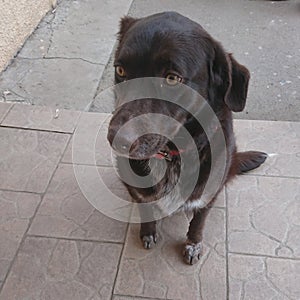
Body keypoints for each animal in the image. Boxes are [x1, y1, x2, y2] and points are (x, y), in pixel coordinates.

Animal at [106, 11, 266, 264]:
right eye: (120, 71)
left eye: (172, 78)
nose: (117, 139)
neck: (170, 156)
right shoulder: (139, 190)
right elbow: (145, 208)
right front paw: (148, 231)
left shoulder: (208, 193)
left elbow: (198, 222)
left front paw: (193, 244)